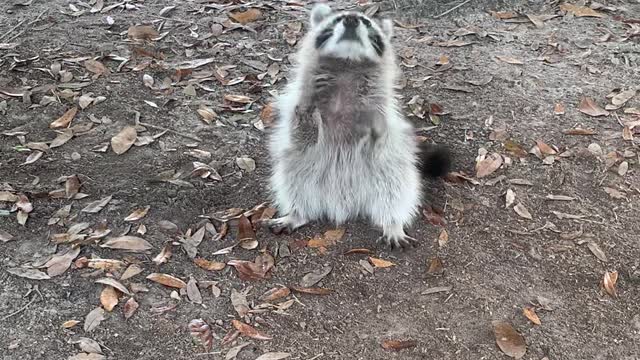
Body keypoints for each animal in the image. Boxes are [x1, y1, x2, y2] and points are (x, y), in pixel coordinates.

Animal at [264, 3, 450, 250]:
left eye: (367, 22)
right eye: (338, 19)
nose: (351, 19)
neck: (347, 64)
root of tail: (345, 202)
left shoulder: (382, 111)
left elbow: (382, 134)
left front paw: (376, 133)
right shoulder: (299, 103)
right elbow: (300, 135)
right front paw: (306, 117)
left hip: (390, 172)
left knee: (396, 192)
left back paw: (393, 222)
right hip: (299, 170)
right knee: (292, 183)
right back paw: (298, 212)